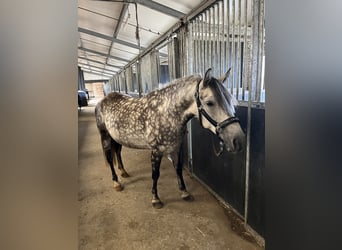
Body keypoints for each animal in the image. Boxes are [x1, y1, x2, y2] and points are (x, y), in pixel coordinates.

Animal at [95, 68, 244, 209]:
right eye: (209, 103)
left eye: (230, 101)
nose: (238, 140)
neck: (166, 113)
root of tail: (102, 101)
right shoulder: (156, 151)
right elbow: (155, 174)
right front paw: (156, 199)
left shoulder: (176, 148)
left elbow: (178, 169)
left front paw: (184, 192)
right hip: (105, 137)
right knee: (109, 158)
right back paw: (116, 183)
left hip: (116, 138)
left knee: (118, 152)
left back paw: (123, 172)